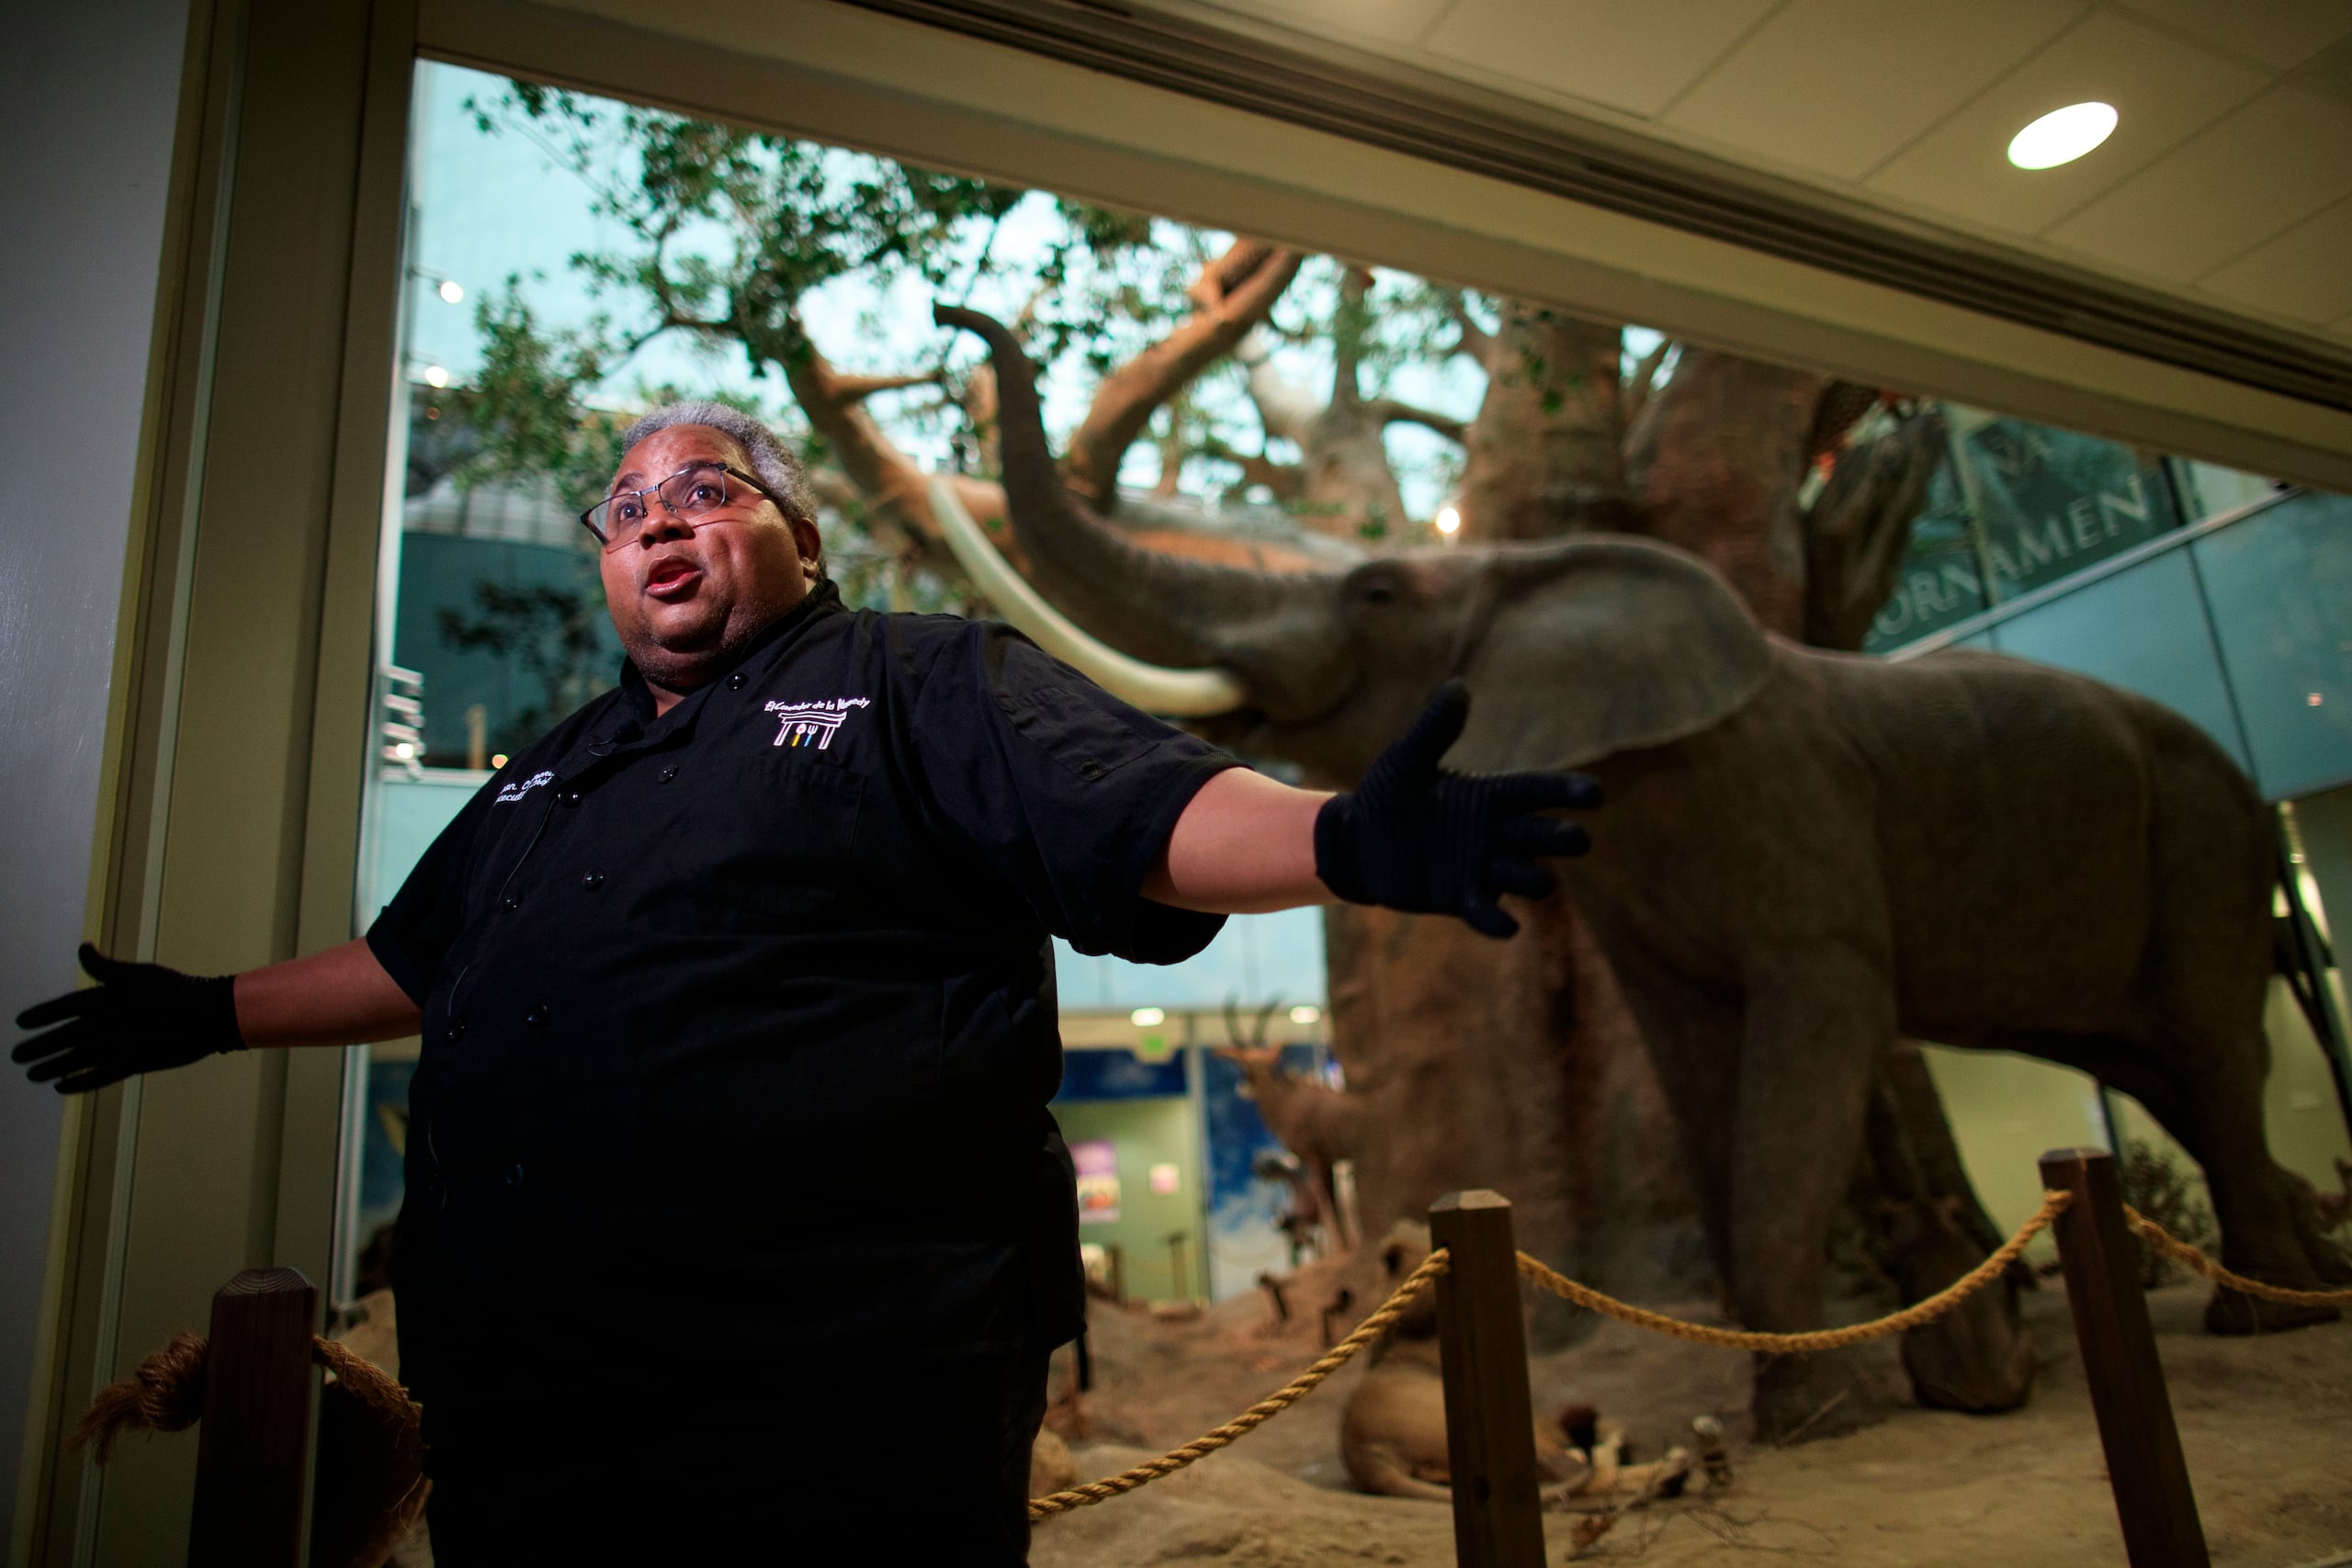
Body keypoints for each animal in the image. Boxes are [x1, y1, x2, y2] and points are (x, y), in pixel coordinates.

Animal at [935, 310, 2352, 1448]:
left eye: (1379, 590)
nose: (958, 326)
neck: (1529, 571)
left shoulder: (1794, 821)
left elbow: (1808, 1046)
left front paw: (1810, 1414)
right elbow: (1690, 1058)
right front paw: (1806, 1402)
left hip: (2207, 835)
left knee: (2212, 1050)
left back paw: (2257, 1321)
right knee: (2169, 1067)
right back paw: (2287, 1280)